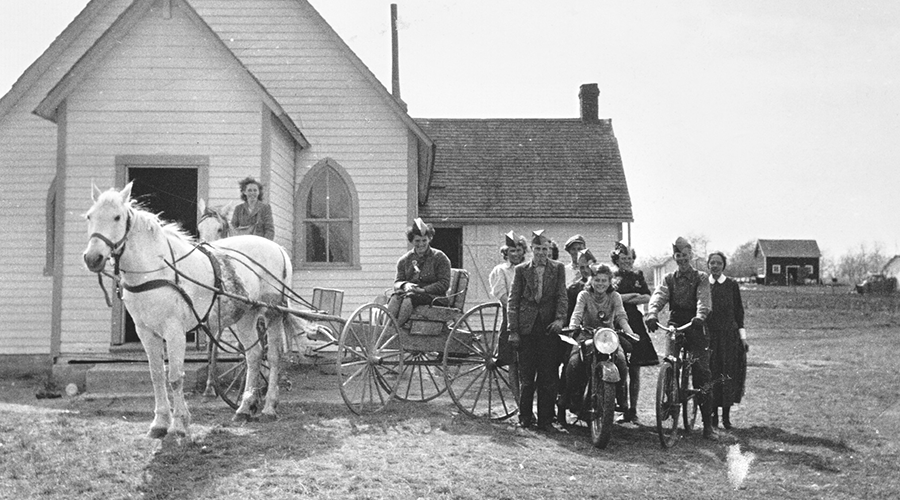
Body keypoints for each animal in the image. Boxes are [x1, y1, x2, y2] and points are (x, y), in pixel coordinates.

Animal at [81, 184, 292, 438]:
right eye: (89, 216)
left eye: (117, 217)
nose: (93, 258)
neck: (157, 269)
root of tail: (277, 247)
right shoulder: (146, 332)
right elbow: (157, 375)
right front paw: (160, 422)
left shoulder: (175, 331)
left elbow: (175, 377)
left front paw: (179, 424)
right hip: (245, 316)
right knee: (253, 355)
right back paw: (244, 408)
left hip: (272, 312)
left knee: (273, 356)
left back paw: (269, 407)